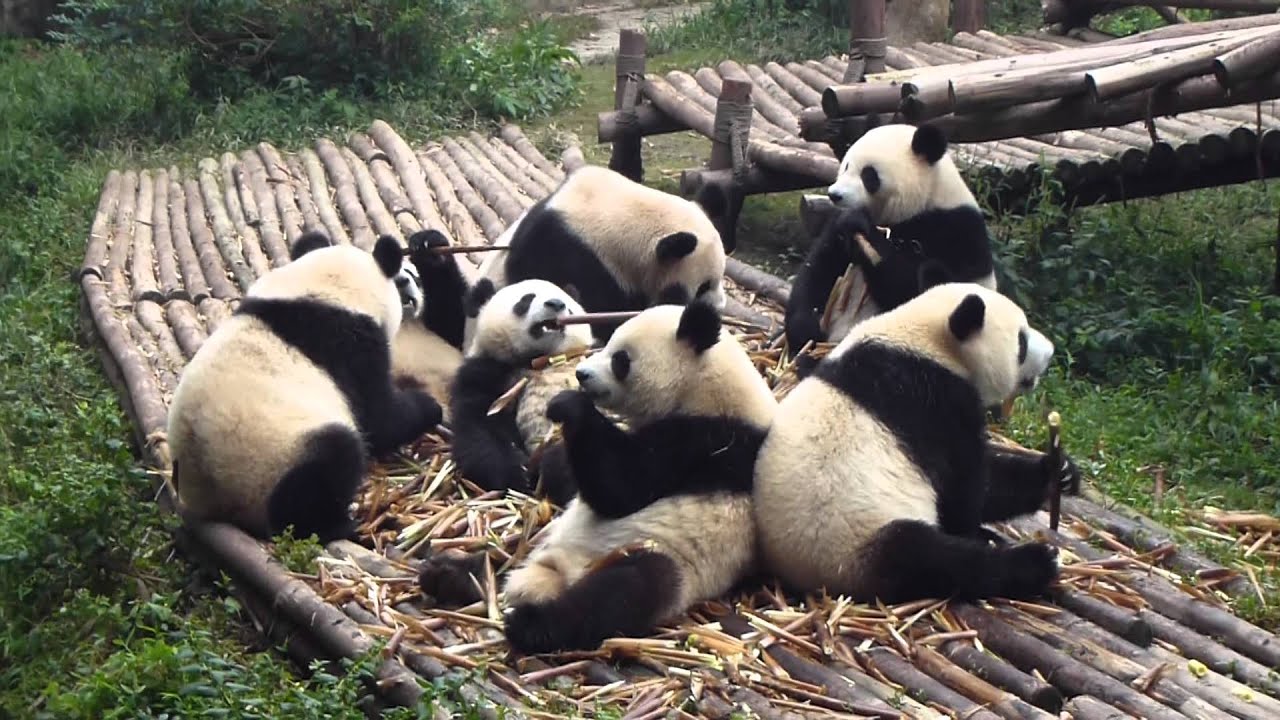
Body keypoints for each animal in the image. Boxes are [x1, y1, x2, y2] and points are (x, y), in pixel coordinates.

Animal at [167, 231, 444, 542]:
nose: (409, 283)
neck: (323, 293)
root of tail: (215, 505)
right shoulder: (351, 346)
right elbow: (380, 418)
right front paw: (429, 407)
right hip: (274, 460)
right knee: (329, 462)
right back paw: (340, 525)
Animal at [446, 277, 596, 502]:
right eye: (526, 299)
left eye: (569, 306)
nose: (556, 304)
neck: (539, 358)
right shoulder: (489, 372)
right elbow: (479, 426)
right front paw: (516, 474)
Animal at [500, 299, 777, 654]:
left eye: (621, 359)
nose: (581, 373)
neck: (707, 388)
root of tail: (557, 574)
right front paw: (546, 459)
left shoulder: (707, 442)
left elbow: (622, 487)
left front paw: (568, 406)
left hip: (656, 556)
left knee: (623, 592)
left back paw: (530, 624)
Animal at [755, 283, 1079, 605]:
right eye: (1021, 341)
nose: (1050, 351)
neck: (925, 339)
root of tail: (804, 577)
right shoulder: (935, 401)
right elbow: (965, 488)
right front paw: (977, 528)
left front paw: (1059, 472)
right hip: (853, 541)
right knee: (931, 559)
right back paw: (1035, 561)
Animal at [785, 123, 997, 358]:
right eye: (846, 165)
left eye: (869, 175)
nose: (835, 195)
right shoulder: (836, 225)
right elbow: (821, 267)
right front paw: (805, 331)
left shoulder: (956, 234)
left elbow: (910, 286)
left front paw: (863, 227)